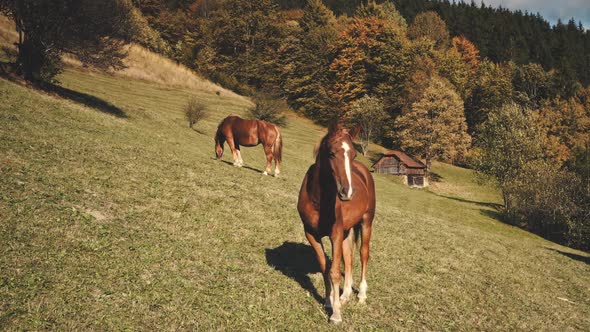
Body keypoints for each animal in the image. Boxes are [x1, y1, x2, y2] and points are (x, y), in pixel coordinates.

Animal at [298, 122, 376, 324]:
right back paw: (344, 295)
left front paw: (336, 314)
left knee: (363, 254)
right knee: (348, 258)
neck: (318, 199)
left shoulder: (336, 234)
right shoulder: (311, 234)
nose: (347, 192)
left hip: (366, 222)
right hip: (347, 231)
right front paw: (329, 302)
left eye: (353, 155)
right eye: (332, 153)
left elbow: (334, 271)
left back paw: (361, 295)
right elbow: (324, 267)